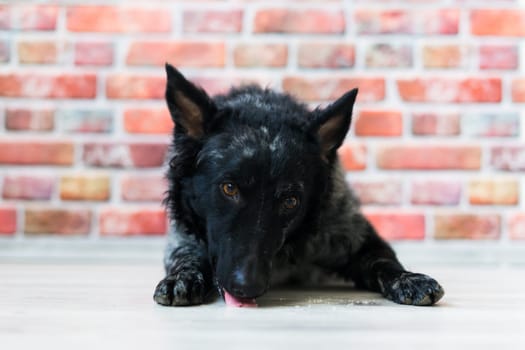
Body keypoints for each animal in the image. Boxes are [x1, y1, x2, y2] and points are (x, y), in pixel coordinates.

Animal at [154, 64, 444, 308]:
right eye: (229, 188)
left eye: (290, 201)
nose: (247, 287)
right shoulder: (182, 239)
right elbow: (187, 256)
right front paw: (183, 277)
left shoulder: (355, 236)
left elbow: (384, 261)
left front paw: (409, 278)